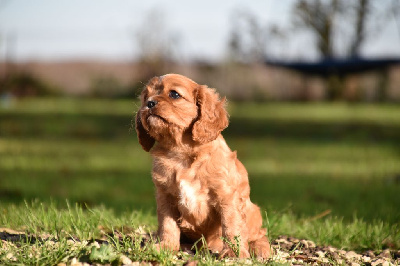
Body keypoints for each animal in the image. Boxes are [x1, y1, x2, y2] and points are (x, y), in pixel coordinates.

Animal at [135, 74, 272, 258]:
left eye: (174, 94)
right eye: (145, 97)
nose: (149, 103)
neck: (181, 152)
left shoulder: (227, 197)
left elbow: (231, 226)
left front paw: (234, 253)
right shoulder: (165, 196)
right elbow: (167, 225)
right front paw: (166, 247)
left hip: (253, 211)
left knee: (260, 235)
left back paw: (260, 249)